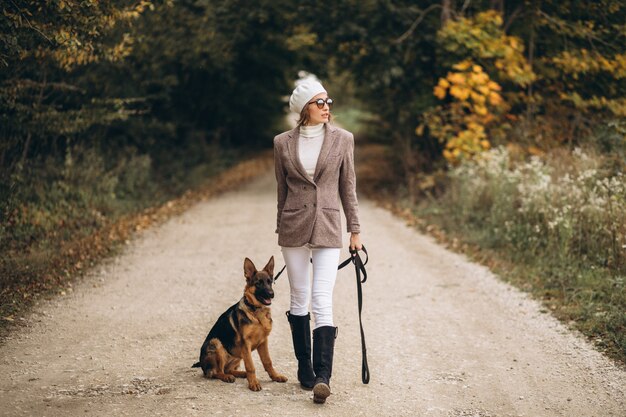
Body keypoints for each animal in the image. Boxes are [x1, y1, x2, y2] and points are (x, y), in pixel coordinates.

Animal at [191, 256, 286, 390]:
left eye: (270, 282)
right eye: (258, 283)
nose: (271, 294)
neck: (256, 311)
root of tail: (202, 363)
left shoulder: (263, 342)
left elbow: (268, 361)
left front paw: (275, 376)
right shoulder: (246, 343)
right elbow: (251, 366)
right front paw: (254, 383)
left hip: (238, 356)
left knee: (228, 369)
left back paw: (241, 373)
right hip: (216, 343)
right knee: (216, 372)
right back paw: (227, 377)